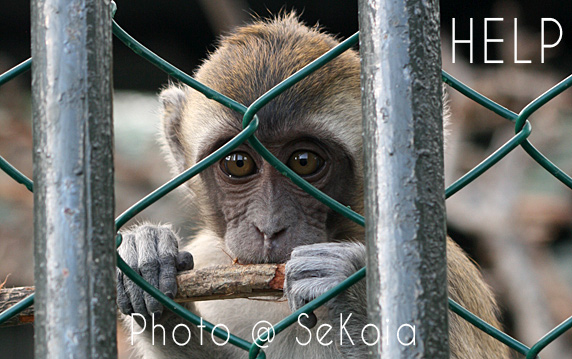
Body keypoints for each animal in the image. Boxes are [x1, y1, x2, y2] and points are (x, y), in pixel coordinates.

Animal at [116, 12, 510, 358]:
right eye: (238, 163)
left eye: (303, 161)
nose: (269, 227)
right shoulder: (213, 256)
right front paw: (148, 259)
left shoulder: (444, 278)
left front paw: (347, 286)